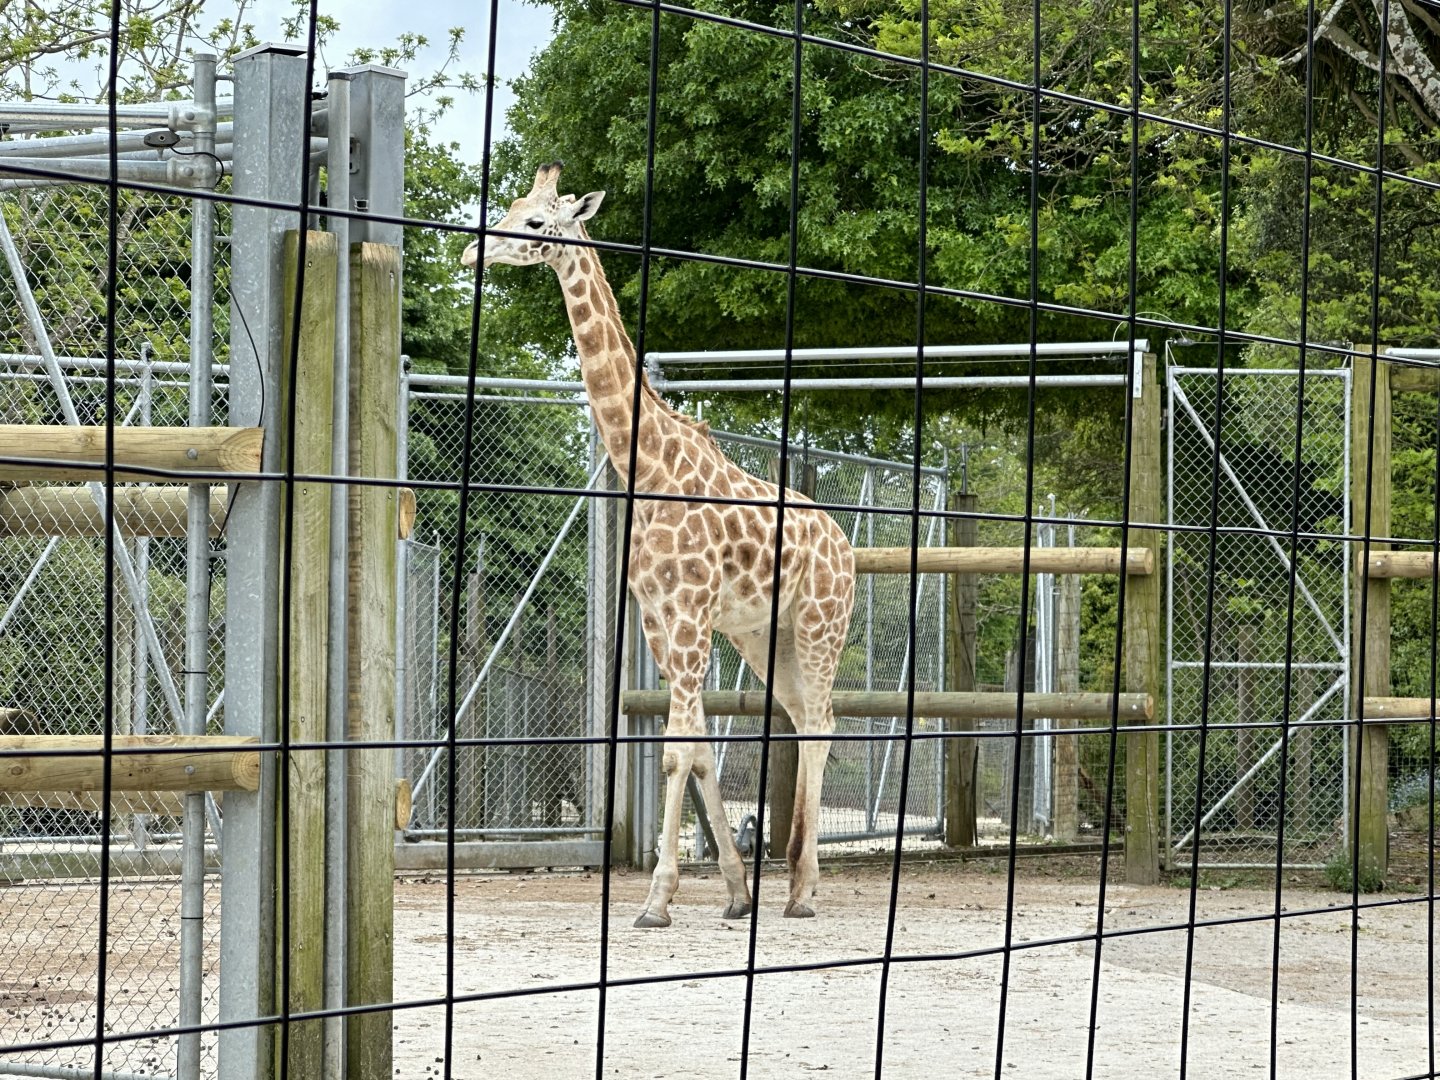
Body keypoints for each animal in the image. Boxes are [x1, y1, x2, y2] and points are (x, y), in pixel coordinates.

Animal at [463, 162, 856, 928]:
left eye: (534, 222)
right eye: (512, 207)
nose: (471, 252)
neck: (644, 465)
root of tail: (843, 540)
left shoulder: (689, 612)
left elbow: (676, 754)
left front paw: (655, 900)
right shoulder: (656, 616)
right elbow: (697, 753)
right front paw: (733, 892)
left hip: (821, 623)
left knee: (824, 723)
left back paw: (802, 891)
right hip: (766, 635)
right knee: (802, 718)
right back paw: (791, 883)